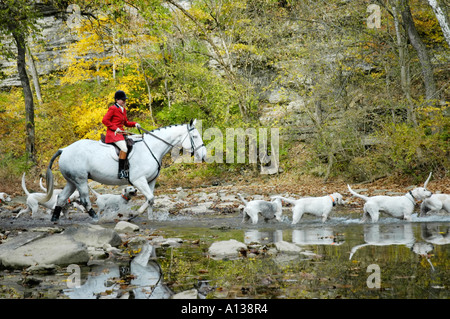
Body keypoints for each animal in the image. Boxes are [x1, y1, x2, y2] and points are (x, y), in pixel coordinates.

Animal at [40, 119, 206, 221]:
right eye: (195, 136)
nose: (203, 156)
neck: (151, 148)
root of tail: (64, 149)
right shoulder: (139, 180)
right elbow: (149, 199)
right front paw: (133, 215)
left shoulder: (151, 181)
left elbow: (151, 200)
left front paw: (151, 218)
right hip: (80, 180)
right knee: (85, 200)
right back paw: (96, 218)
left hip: (72, 181)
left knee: (61, 198)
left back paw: (55, 218)